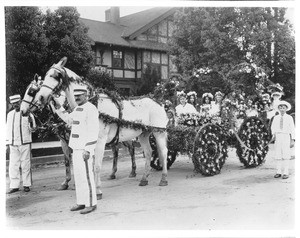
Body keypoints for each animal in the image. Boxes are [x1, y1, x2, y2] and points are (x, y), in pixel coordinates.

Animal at [20, 56, 169, 198]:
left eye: (55, 76)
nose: (22, 110)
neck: (92, 104)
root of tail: (157, 101)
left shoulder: (99, 141)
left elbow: (96, 166)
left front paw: (97, 190)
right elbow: (78, 163)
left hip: (158, 132)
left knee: (163, 152)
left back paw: (163, 178)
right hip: (143, 134)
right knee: (149, 152)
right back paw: (144, 178)